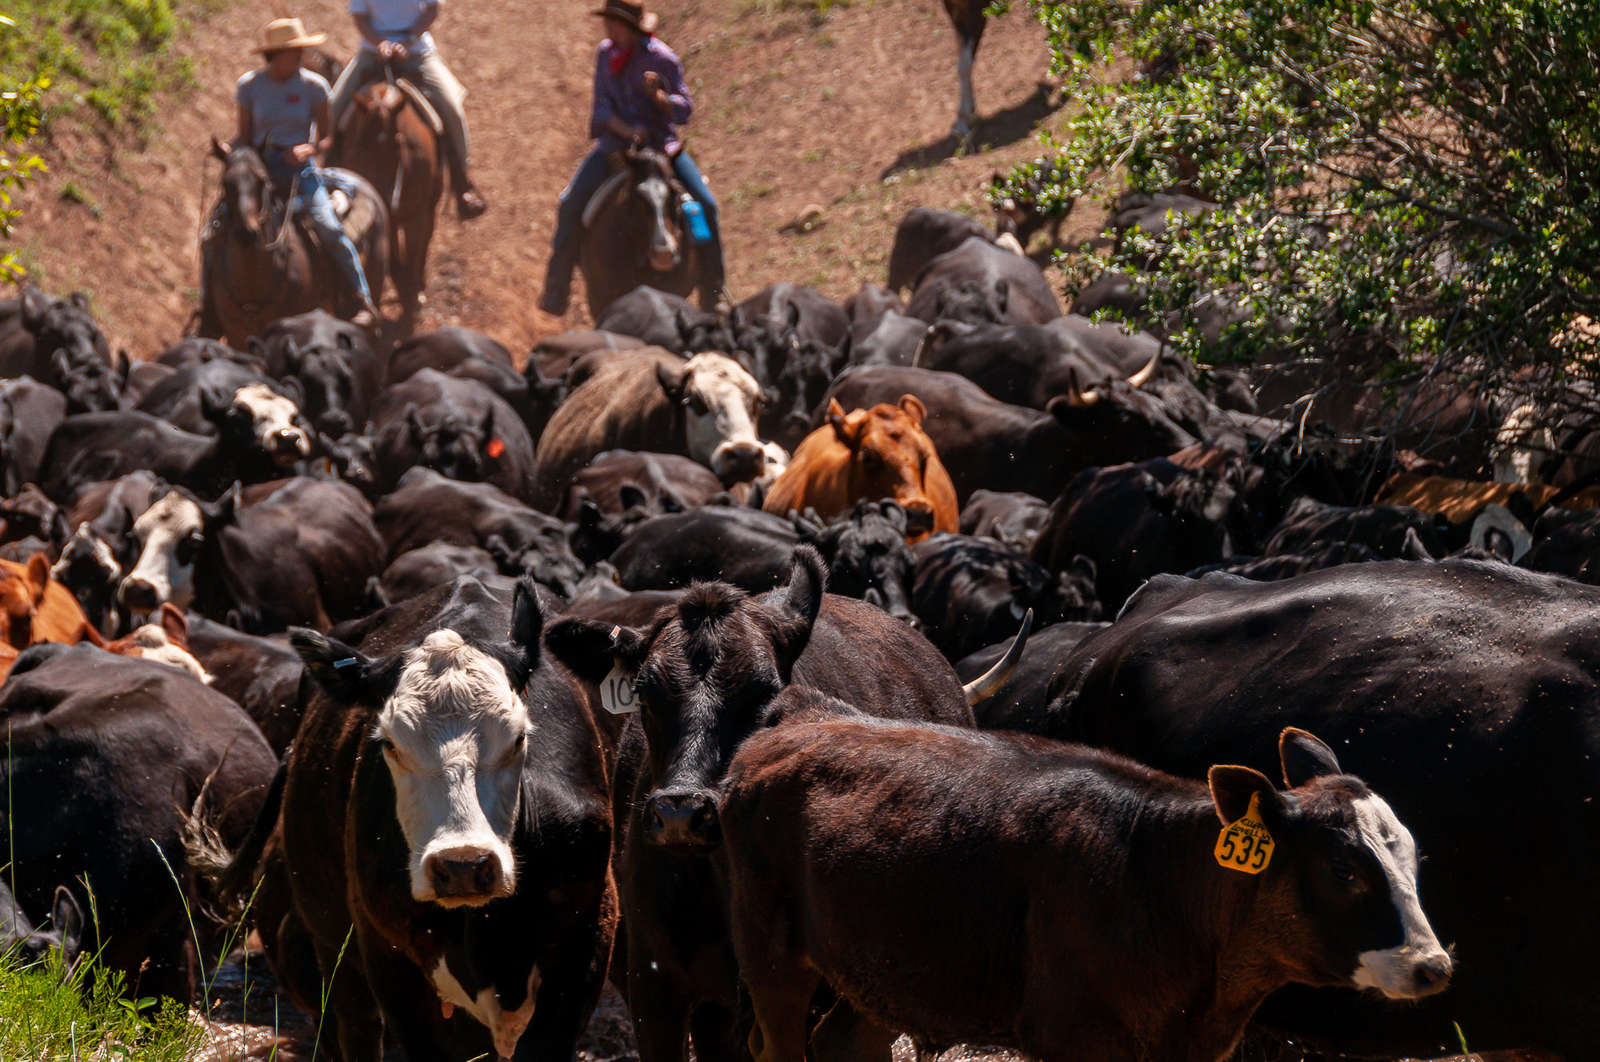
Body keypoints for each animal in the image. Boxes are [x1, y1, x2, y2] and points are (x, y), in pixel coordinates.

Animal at [246, 576, 616, 1061]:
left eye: (519, 737)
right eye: (389, 743)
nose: (463, 865)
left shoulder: (586, 944)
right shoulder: (388, 959)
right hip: (334, 954)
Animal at [721, 720, 1449, 1062]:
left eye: (1414, 856)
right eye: (1343, 870)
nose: (1433, 966)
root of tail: (777, 734)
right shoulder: (1073, 1036)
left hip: (880, 971)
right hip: (769, 954)